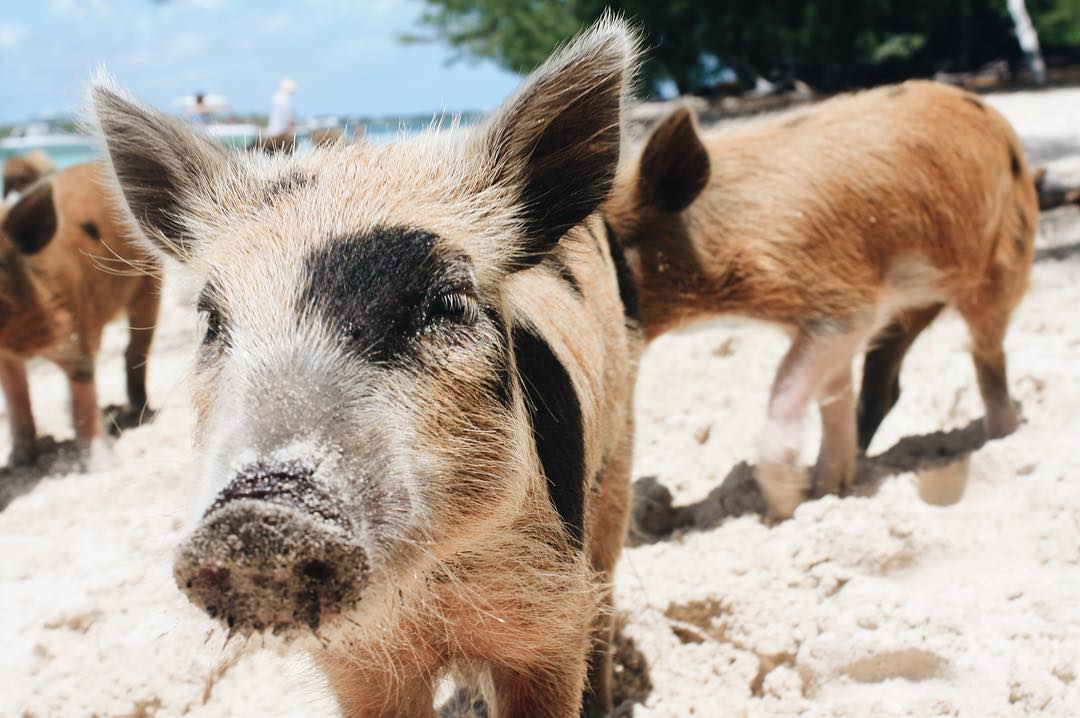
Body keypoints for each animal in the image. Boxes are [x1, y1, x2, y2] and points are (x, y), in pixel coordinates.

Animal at [0, 160, 159, 464]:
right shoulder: (7, 360)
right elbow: (16, 398)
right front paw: (19, 459)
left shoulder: (74, 331)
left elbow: (82, 388)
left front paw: (101, 464)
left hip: (150, 280)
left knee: (136, 348)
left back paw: (135, 414)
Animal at [90, 16, 639, 716]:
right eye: (211, 321)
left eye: (448, 302)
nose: (260, 517)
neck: (431, 594)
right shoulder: (359, 661)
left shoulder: (549, 620)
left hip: (620, 451)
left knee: (608, 582)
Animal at [604, 82, 1032, 516]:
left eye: (620, 245)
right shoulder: (821, 319)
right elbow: (833, 394)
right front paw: (829, 490)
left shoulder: (845, 305)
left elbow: (788, 386)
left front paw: (784, 506)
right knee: (885, 383)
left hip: (1003, 262)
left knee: (987, 354)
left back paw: (1002, 435)